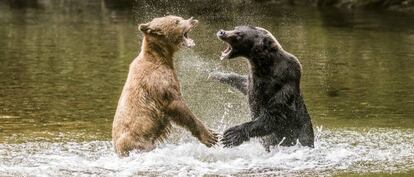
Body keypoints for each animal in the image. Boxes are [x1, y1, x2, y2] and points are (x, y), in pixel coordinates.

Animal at [111, 15, 218, 156]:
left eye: (179, 18)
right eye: (176, 21)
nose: (192, 19)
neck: (161, 57)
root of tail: (118, 150)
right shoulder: (159, 82)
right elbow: (177, 105)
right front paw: (211, 136)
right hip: (139, 141)